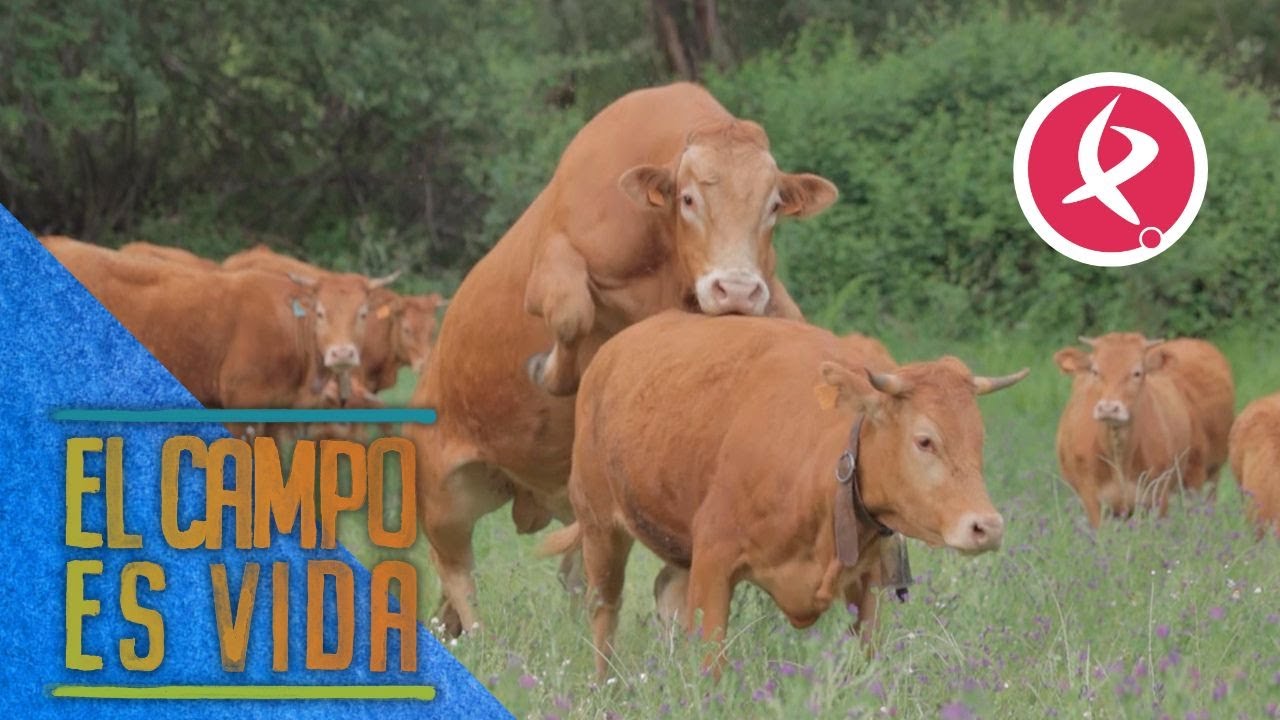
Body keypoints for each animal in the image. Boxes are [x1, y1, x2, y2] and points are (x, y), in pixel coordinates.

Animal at [406, 82, 839, 636]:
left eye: (774, 205)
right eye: (689, 198)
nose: (737, 288)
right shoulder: (551, 268)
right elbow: (573, 311)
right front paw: (548, 369)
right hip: (445, 496)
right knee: (457, 574)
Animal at [538, 312, 1027, 679]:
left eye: (979, 440)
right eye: (925, 440)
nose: (987, 527)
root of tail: (611, 352)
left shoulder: (866, 583)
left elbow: (866, 658)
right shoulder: (713, 563)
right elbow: (712, 662)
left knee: (665, 593)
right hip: (601, 525)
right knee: (605, 611)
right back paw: (605, 686)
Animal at [1054, 333, 1234, 526]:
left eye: (1137, 373)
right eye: (1095, 371)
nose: (1108, 408)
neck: (1119, 457)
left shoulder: (1159, 493)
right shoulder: (1091, 497)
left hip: (1205, 473)